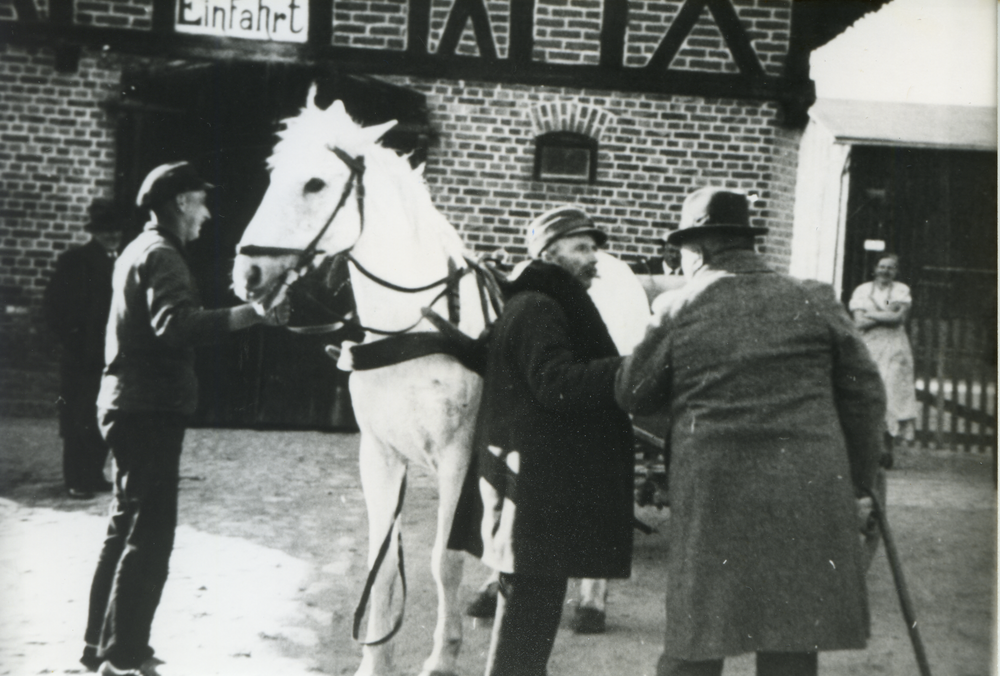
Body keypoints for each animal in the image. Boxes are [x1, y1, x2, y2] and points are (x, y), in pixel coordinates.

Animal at [230, 86, 488, 676]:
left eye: (315, 183)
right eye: (273, 174)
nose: (247, 275)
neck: (414, 327)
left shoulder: (458, 458)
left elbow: (444, 561)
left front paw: (442, 658)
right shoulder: (380, 454)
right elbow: (383, 567)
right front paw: (375, 658)